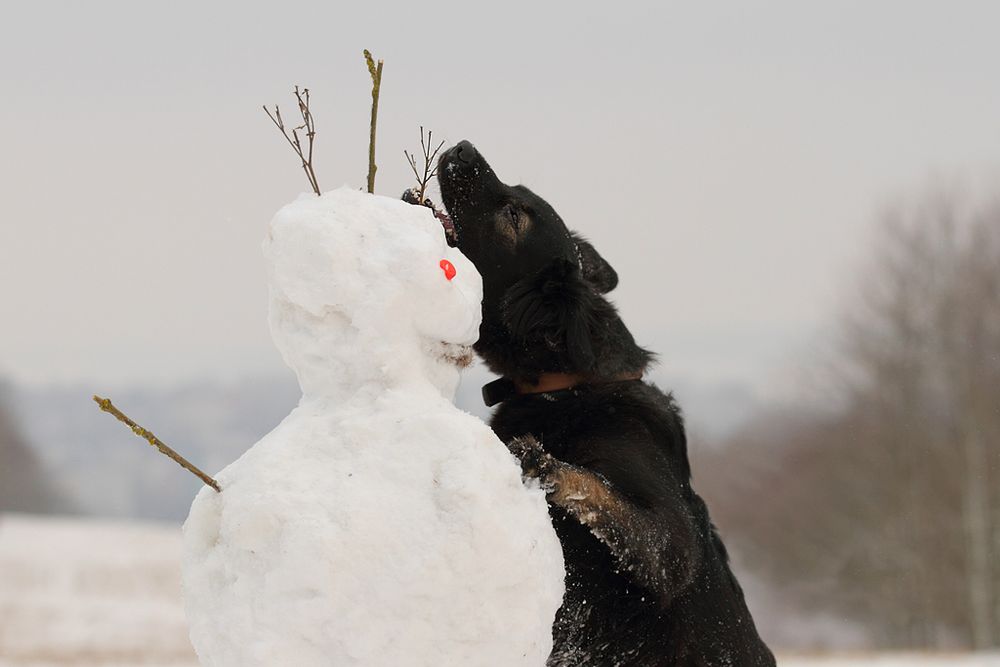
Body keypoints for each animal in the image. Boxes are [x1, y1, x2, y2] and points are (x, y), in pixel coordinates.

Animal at [438, 142, 772, 667]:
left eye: (514, 214)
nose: (461, 147)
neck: (572, 387)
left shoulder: (672, 545)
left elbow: (598, 493)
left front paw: (544, 464)